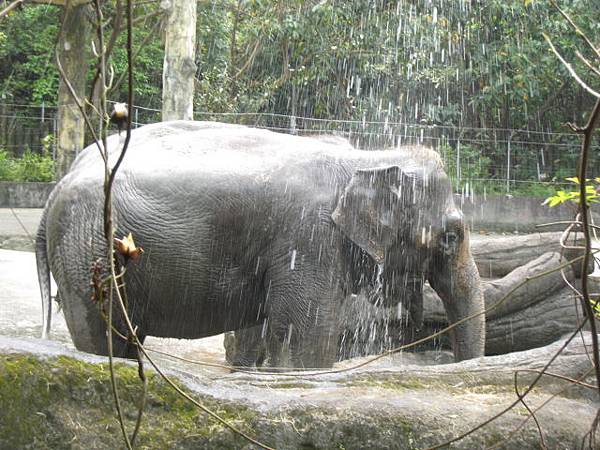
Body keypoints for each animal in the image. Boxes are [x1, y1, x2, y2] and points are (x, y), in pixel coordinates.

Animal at [36, 120, 488, 370]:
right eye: (451, 237)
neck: (367, 157)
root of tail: (55, 188)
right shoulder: (308, 239)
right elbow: (304, 344)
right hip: (89, 250)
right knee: (102, 334)